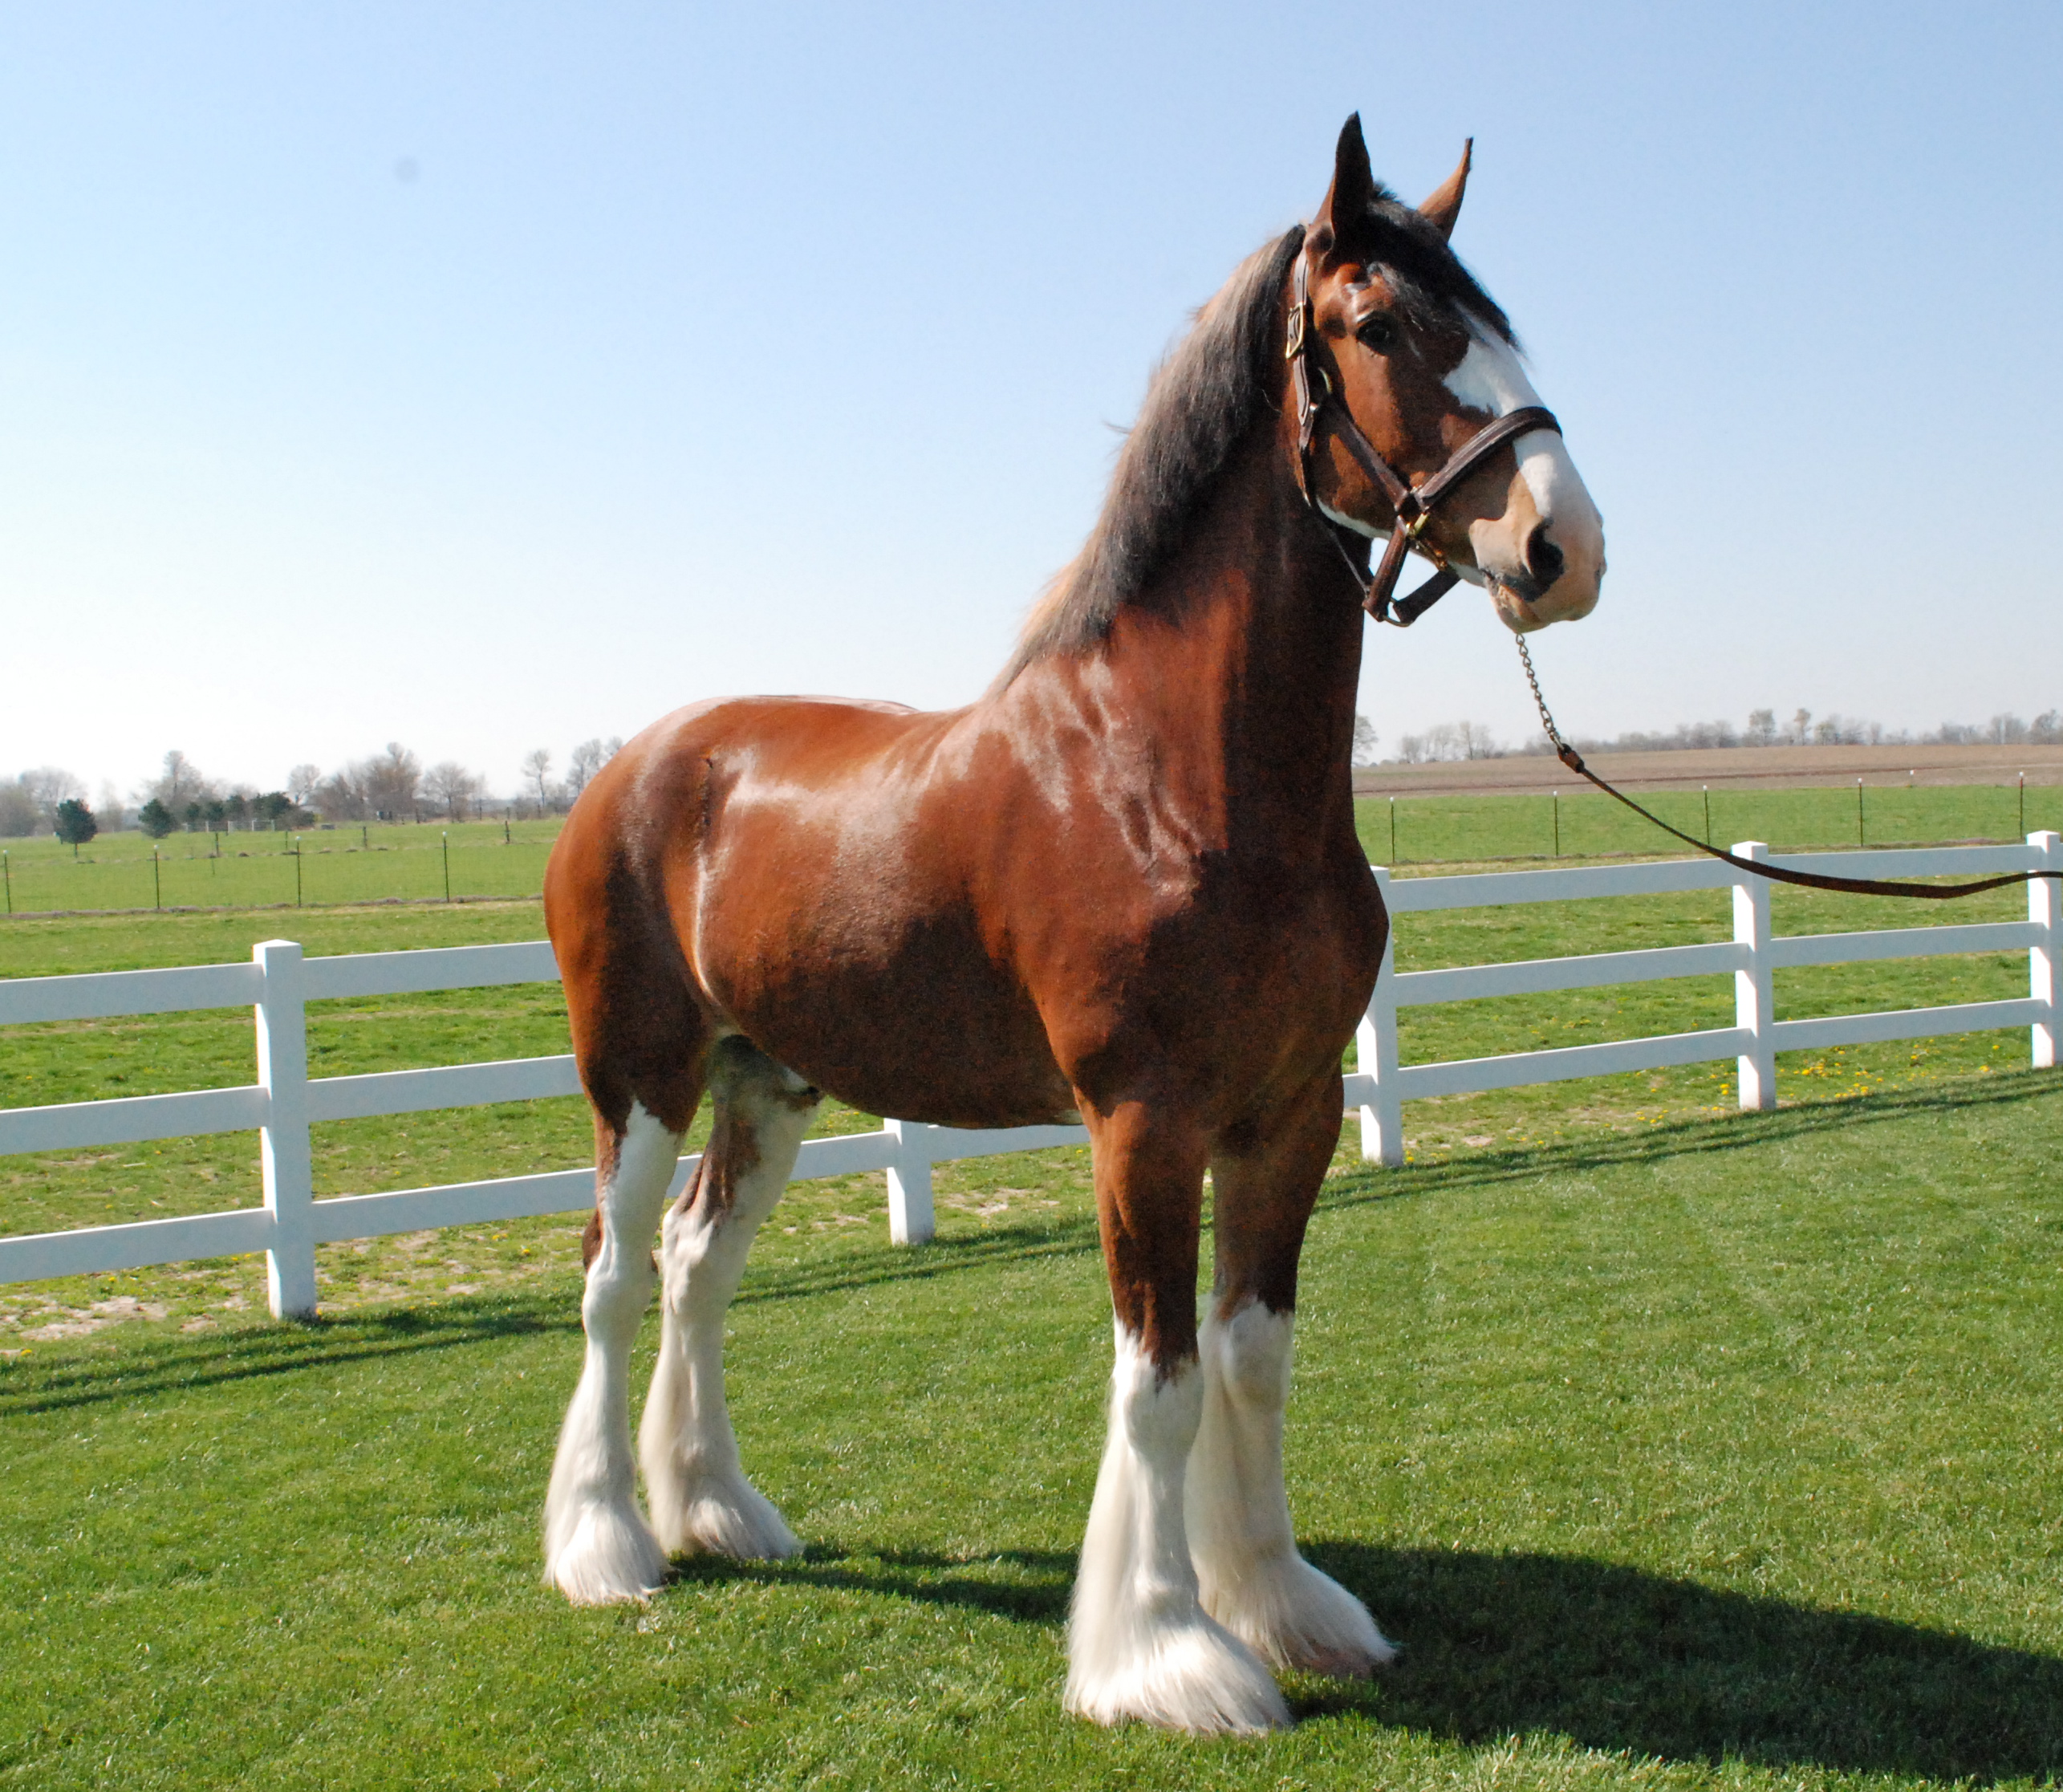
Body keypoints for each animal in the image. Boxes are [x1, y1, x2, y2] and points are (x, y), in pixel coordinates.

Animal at [540, 115, 1601, 1732]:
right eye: (1377, 326)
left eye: (1497, 326)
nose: (1564, 545)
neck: (1171, 775)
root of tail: (630, 769)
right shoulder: (1142, 1123)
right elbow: (1157, 1381)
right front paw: (1165, 1651)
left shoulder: (1287, 1113)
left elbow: (1251, 1358)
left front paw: (1283, 1604)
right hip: (641, 1076)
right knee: (609, 1279)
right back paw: (607, 1545)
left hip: (766, 1082)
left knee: (694, 1265)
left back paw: (719, 1508)